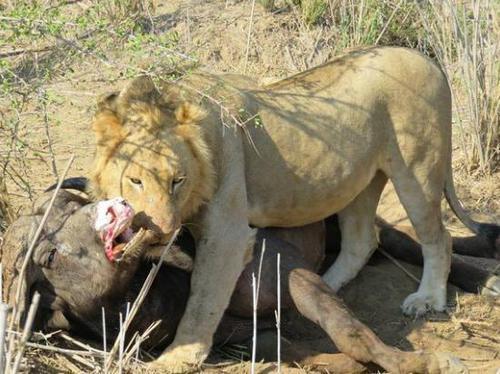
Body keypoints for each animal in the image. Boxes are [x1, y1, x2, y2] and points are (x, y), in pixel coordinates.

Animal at [88, 47, 498, 372]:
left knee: (438, 238)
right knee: (363, 241)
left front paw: (177, 357)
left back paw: (427, 299)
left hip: (418, 168)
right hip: (359, 181)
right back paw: (326, 284)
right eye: (135, 180)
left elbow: (203, 298)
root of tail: (426, 59)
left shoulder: (228, 233)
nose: (161, 228)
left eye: (178, 180)